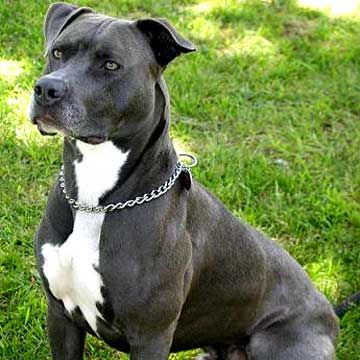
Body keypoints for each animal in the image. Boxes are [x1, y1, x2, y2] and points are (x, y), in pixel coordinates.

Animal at [28, 2, 340, 360]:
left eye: (110, 64)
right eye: (58, 52)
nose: (46, 89)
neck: (95, 197)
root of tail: (332, 313)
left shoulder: (150, 335)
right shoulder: (60, 315)